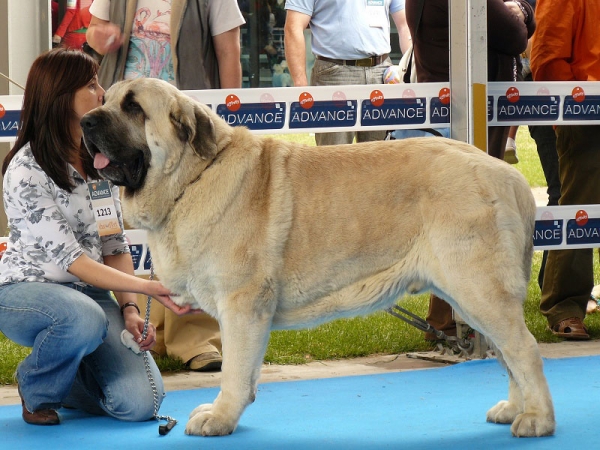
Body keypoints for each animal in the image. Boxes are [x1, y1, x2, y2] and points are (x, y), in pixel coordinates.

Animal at [79, 79, 552, 438]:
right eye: (103, 98)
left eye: (134, 107)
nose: (85, 120)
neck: (193, 176)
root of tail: (507, 175)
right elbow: (246, 371)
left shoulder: (242, 305)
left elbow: (234, 370)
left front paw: (220, 416)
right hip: (470, 297)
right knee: (508, 355)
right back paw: (514, 409)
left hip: (478, 289)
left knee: (524, 349)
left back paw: (537, 419)